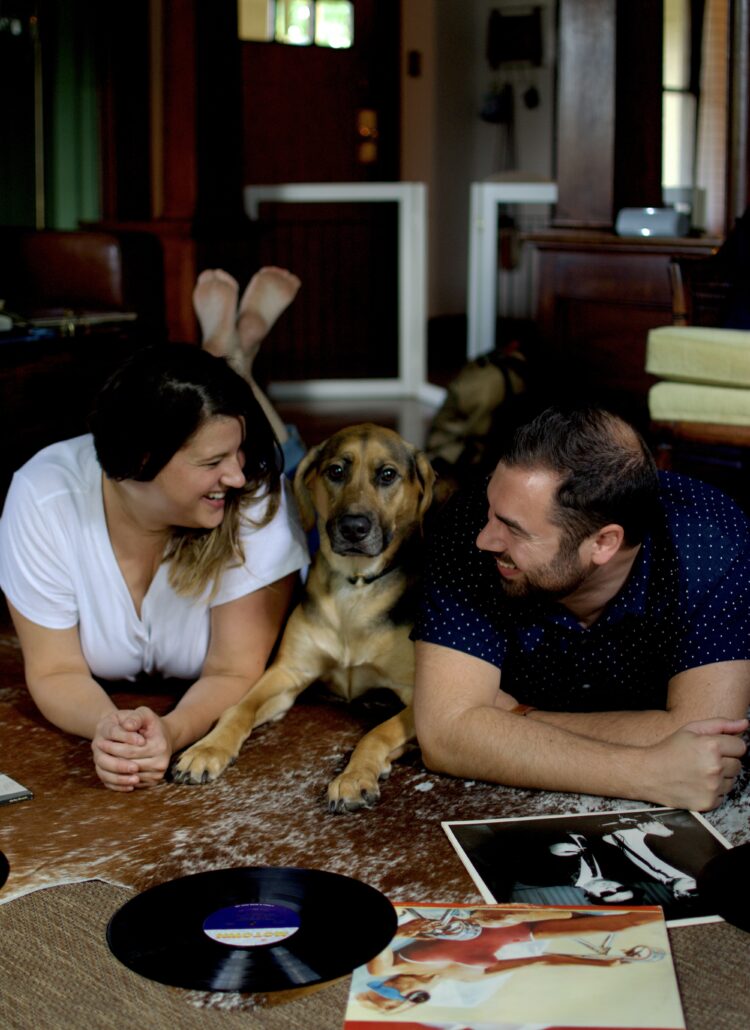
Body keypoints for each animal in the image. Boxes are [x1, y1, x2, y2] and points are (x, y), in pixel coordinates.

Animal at [173, 422, 436, 807]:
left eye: (388, 475)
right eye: (336, 471)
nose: (353, 527)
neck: (355, 585)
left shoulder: (419, 697)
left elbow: (378, 732)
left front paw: (355, 776)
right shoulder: (286, 673)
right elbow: (238, 708)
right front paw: (207, 749)